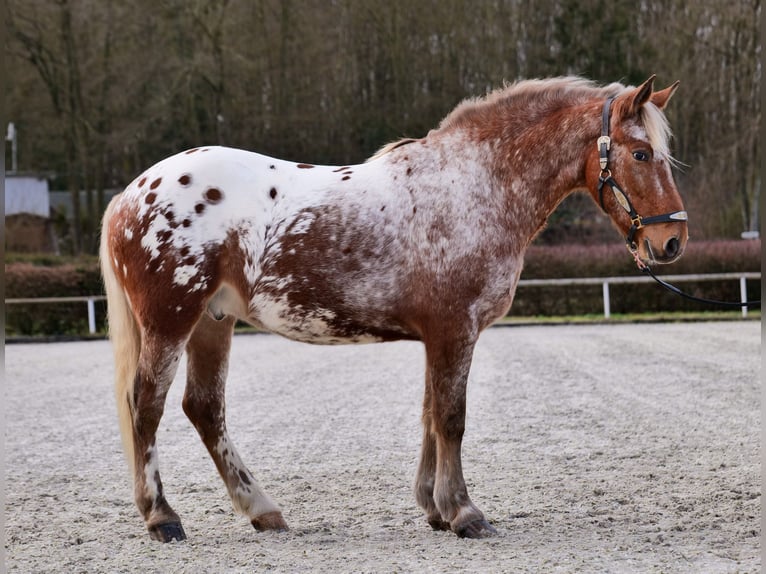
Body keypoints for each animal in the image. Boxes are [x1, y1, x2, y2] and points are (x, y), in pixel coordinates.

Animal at [97, 75, 688, 544]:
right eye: (641, 154)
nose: (672, 242)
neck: (474, 185)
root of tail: (131, 193)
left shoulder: (439, 335)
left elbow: (430, 414)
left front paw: (435, 508)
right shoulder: (455, 330)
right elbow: (451, 418)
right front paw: (465, 513)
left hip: (212, 323)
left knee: (204, 409)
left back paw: (262, 511)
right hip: (170, 320)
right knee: (146, 405)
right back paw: (163, 518)